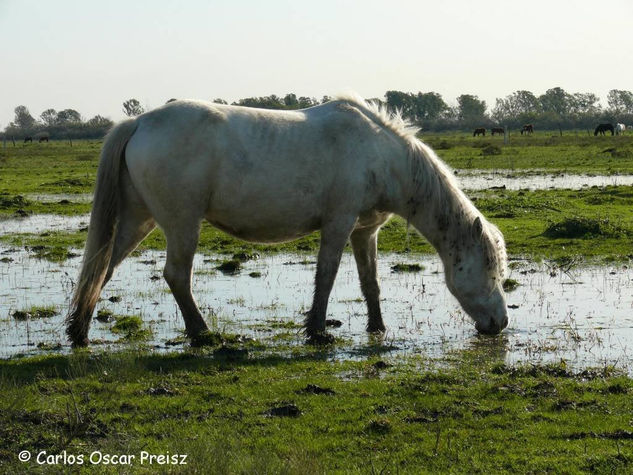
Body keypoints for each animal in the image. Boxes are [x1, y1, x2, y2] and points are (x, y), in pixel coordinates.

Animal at [66, 95, 506, 348]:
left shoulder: (365, 231)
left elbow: (371, 283)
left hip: (138, 220)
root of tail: (139, 122)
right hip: (180, 223)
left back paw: (79, 331)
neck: (382, 155)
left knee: (101, 268)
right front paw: (317, 330)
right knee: (176, 275)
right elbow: (326, 276)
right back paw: (202, 333)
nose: (499, 323)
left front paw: (377, 328)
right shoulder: (339, 223)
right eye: (489, 267)